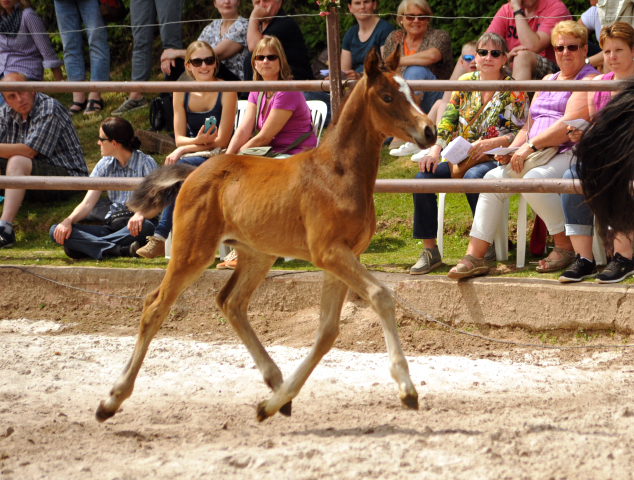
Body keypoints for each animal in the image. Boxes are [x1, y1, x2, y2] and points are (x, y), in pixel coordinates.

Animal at [96, 48, 434, 422]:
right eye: (387, 96)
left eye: (412, 92)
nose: (430, 131)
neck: (338, 173)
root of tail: (193, 172)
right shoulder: (329, 253)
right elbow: (380, 296)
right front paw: (406, 388)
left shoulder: (344, 256)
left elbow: (327, 331)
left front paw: (273, 403)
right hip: (193, 250)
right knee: (155, 305)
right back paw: (111, 399)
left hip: (257, 254)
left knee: (230, 302)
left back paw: (276, 387)